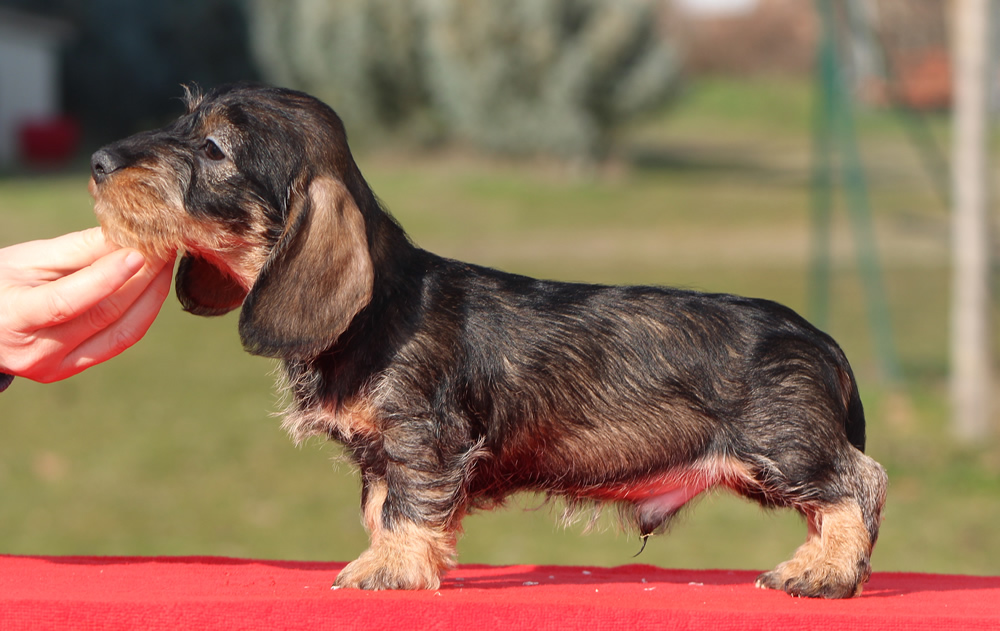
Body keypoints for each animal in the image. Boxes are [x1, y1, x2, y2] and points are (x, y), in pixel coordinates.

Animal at [92, 85, 892, 604]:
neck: (378, 308)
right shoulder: (381, 458)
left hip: (784, 444)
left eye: (213, 146)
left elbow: (409, 507)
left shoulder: (423, 437)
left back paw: (821, 572)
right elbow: (383, 509)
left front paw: (391, 570)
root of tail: (820, 340)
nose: (98, 163)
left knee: (860, 484)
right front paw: (392, 556)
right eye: (182, 118)